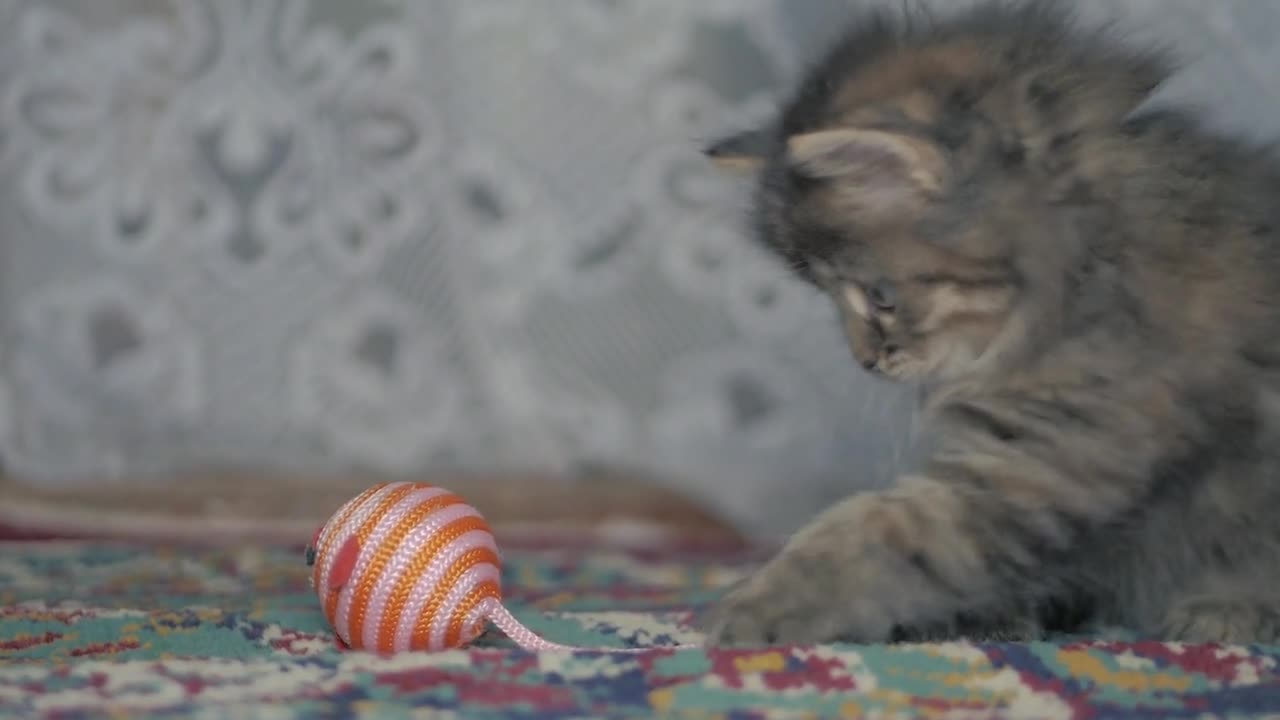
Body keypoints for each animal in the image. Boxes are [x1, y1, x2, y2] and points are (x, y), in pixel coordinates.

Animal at [696, 0, 1280, 638]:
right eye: (827, 293)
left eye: (879, 296)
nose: (866, 361)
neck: (1083, 277)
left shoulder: (1055, 456)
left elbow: (879, 536)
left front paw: (757, 604)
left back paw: (1222, 610)